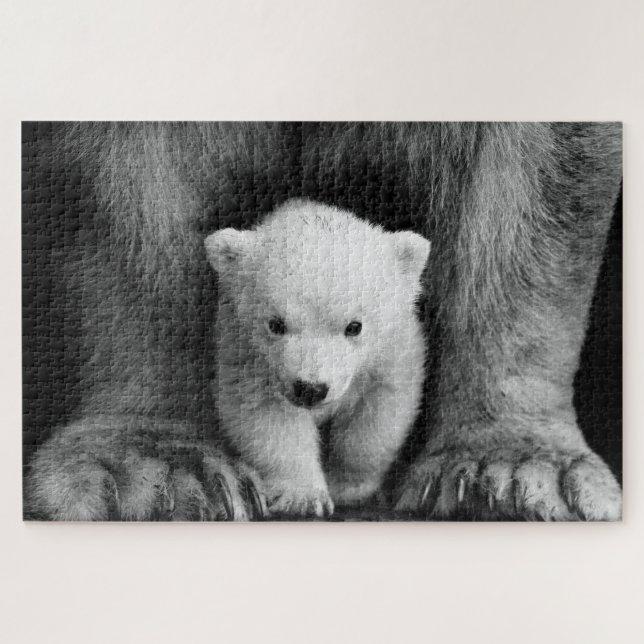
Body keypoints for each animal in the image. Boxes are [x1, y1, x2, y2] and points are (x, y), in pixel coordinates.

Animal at [206, 199, 430, 518]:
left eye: (354, 326)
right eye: (276, 324)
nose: (311, 389)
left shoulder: (392, 352)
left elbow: (377, 417)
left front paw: (347, 485)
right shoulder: (245, 354)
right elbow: (268, 418)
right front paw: (302, 497)